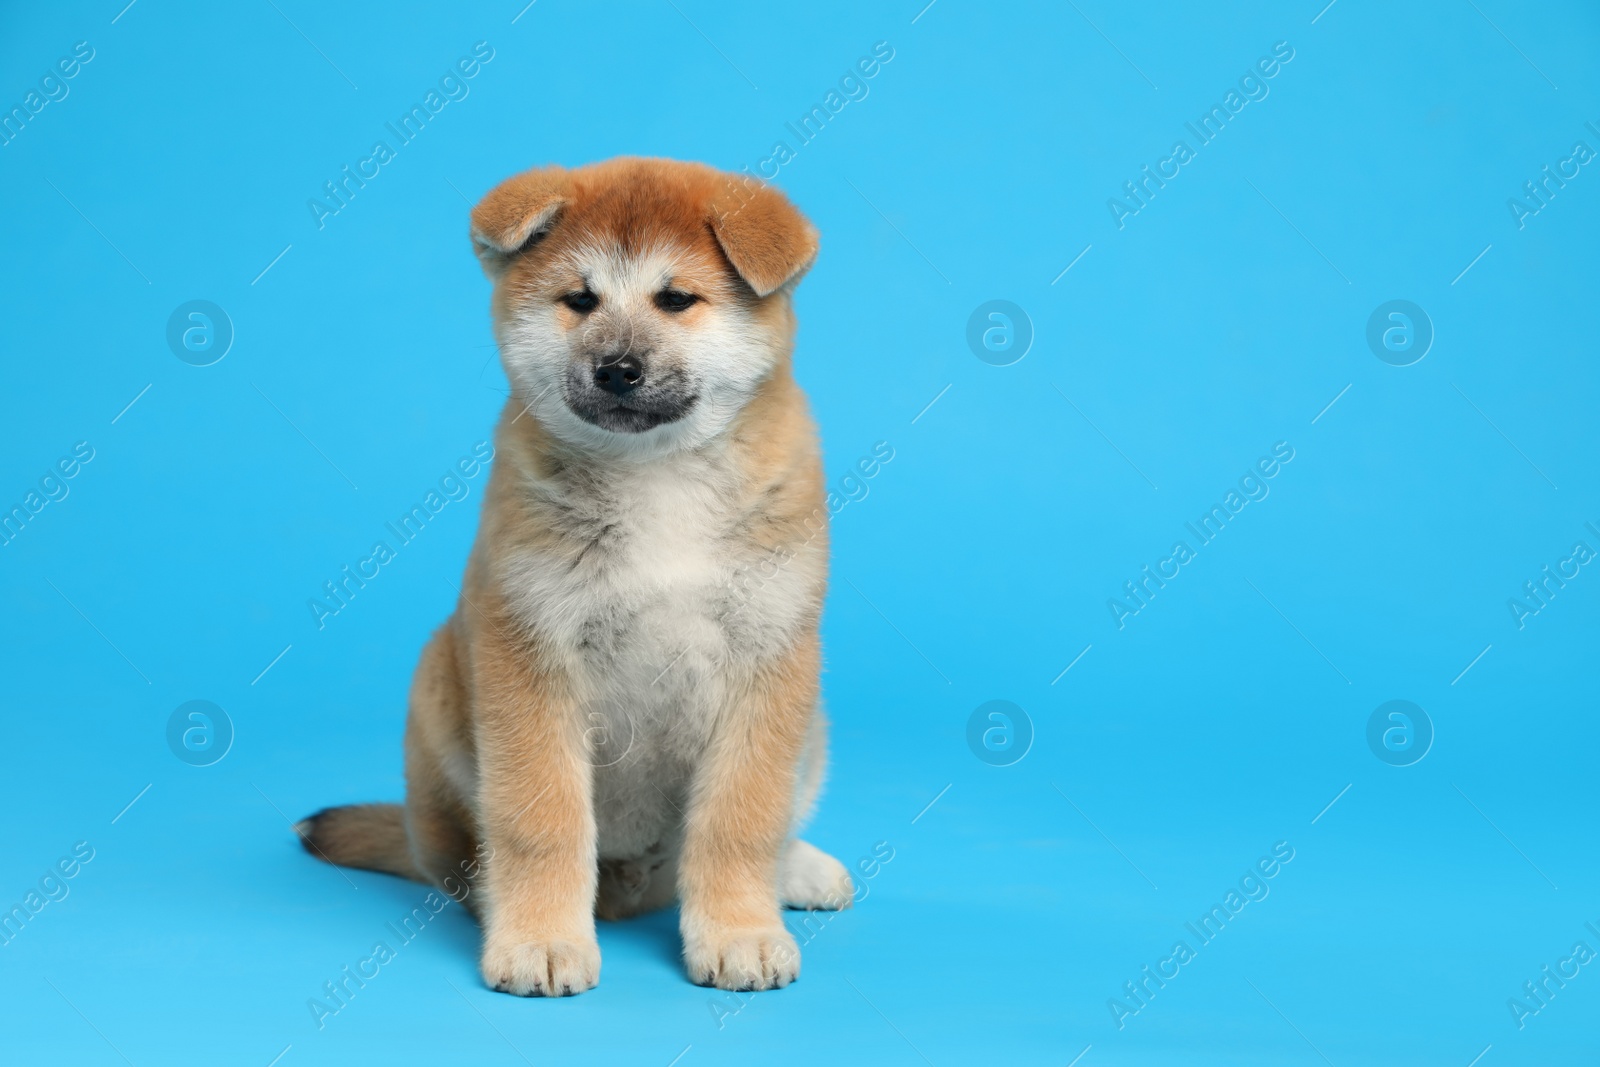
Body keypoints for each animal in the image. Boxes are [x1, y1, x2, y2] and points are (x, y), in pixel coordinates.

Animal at [297, 158, 851, 1004]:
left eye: (676, 299)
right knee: (461, 860)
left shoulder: (769, 655)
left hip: (810, 720)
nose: (616, 368)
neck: (657, 475)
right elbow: (542, 819)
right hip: (440, 689)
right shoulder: (532, 646)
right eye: (580, 300)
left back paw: (799, 869)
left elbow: (739, 818)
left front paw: (739, 930)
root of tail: (635, 889)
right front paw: (541, 937)